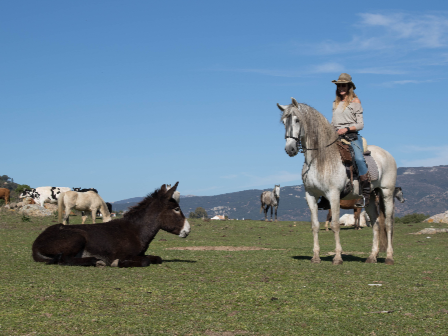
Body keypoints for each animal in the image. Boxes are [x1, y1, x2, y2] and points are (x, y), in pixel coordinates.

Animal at [278, 98, 398, 266]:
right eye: (283, 122)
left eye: (297, 120)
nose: (290, 149)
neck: (319, 159)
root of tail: (386, 154)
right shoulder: (311, 195)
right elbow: (315, 225)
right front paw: (316, 257)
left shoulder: (333, 194)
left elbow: (335, 225)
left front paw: (337, 257)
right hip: (369, 198)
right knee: (375, 223)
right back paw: (372, 256)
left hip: (387, 192)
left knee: (388, 222)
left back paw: (389, 257)